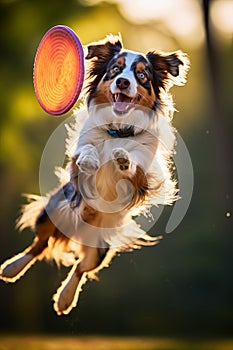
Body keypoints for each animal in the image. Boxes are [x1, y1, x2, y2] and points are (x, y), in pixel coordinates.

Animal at [0, 34, 189, 316]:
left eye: (142, 75)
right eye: (115, 69)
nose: (123, 81)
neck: (118, 129)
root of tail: (76, 235)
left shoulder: (143, 179)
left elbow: (132, 166)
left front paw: (122, 158)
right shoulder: (76, 162)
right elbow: (85, 152)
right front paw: (91, 159)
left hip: (100, 248)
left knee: (80, 267)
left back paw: (64, 298)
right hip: (53, 211)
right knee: (39, 245)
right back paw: (11, 268)